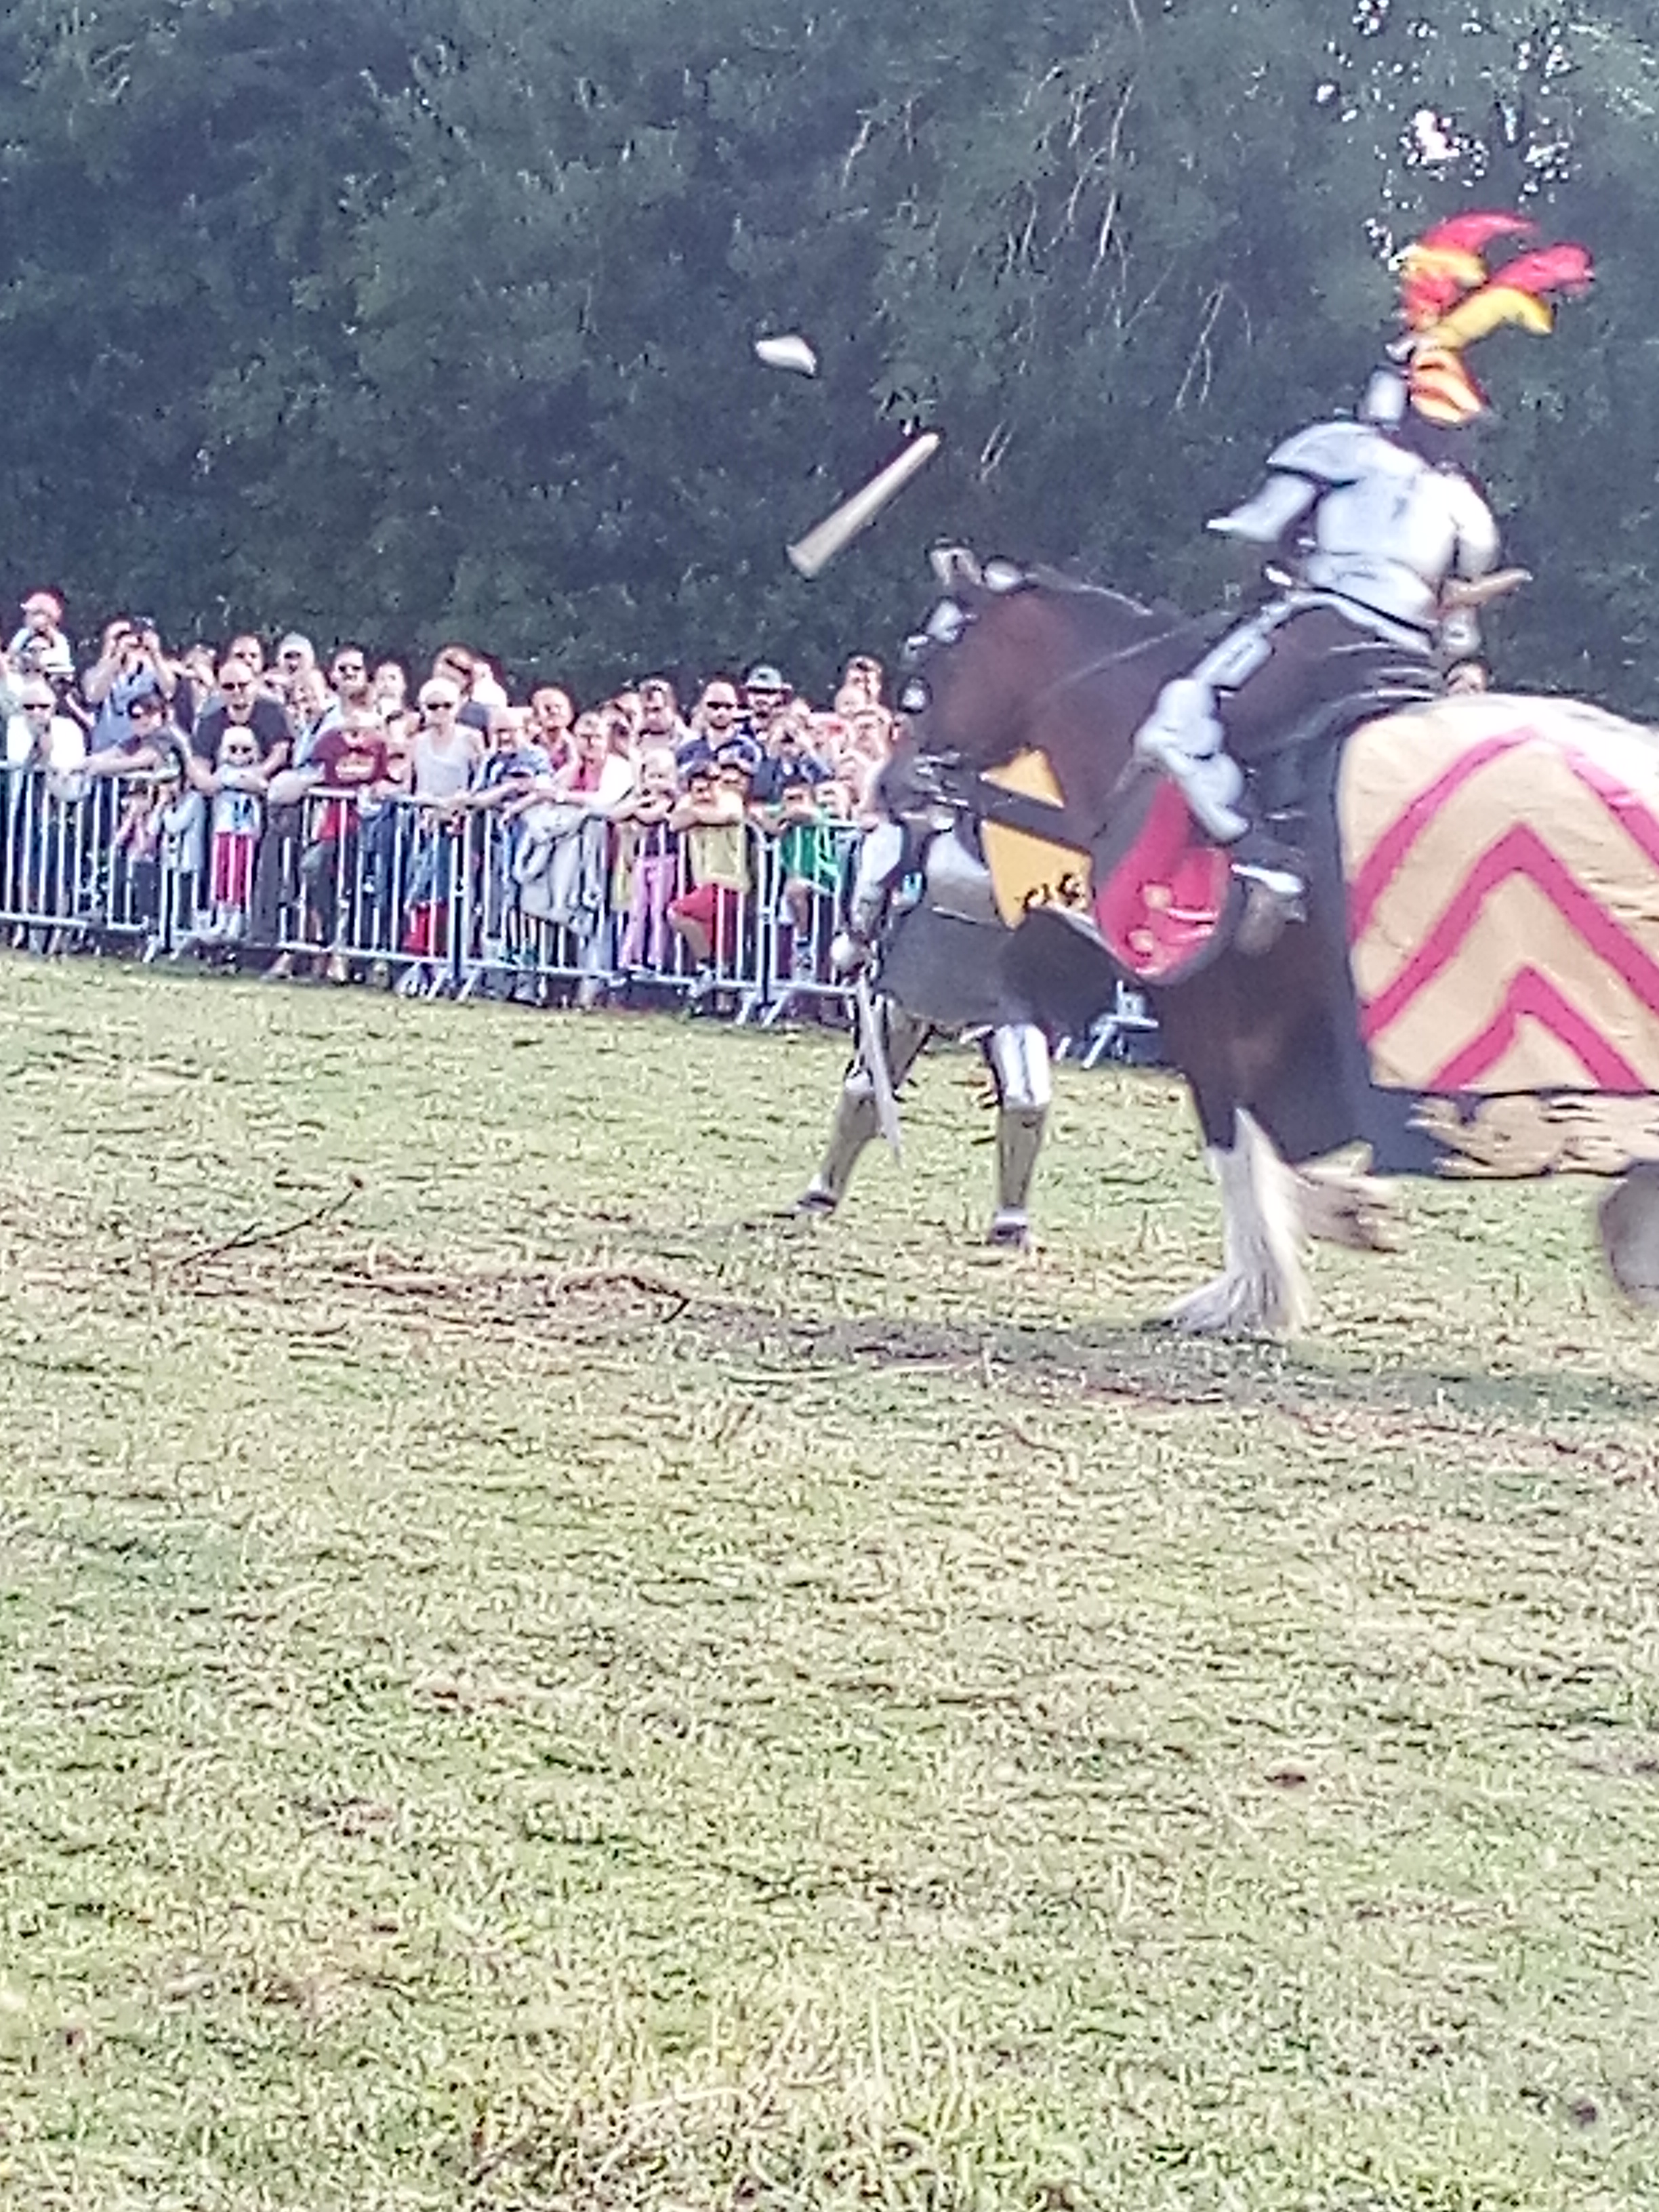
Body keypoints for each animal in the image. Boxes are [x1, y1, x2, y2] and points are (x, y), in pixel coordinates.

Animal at [883, 551, 1659, 1333]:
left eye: (931, 665)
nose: (891, 784)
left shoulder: (1199, 1003)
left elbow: (1233, 1132)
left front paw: (1257, 1288)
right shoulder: (1278, 1019)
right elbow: (1275, 1134)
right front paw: (1340, 1218)